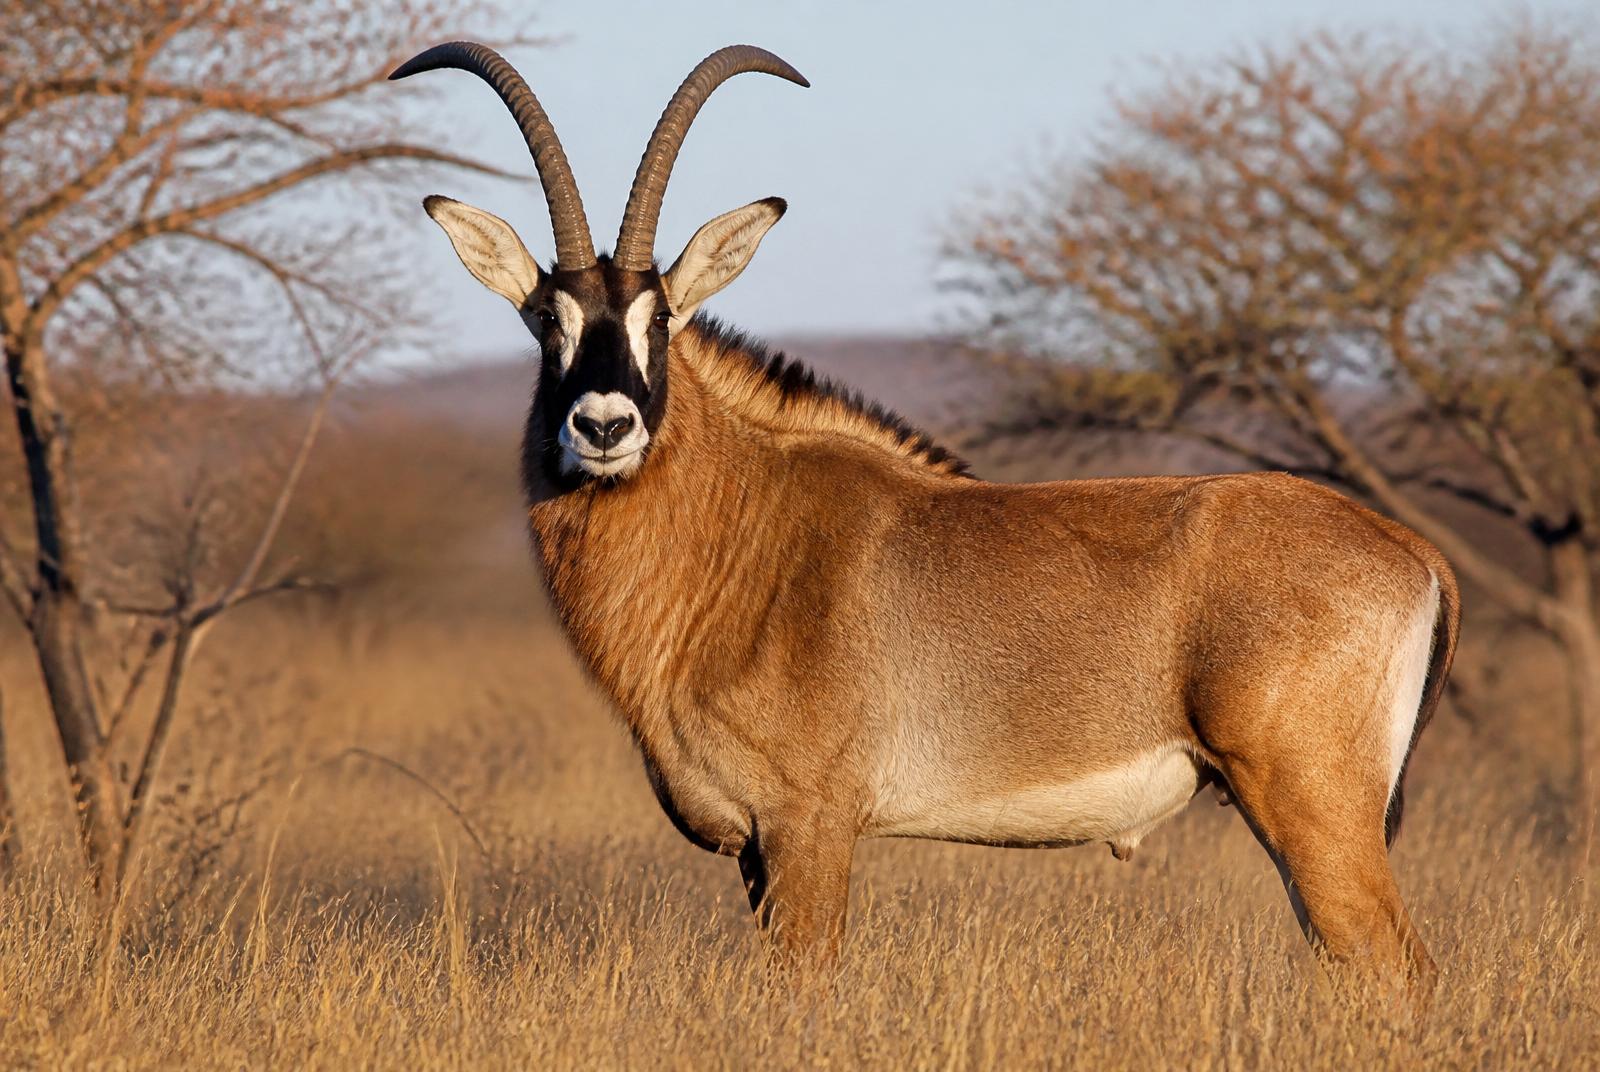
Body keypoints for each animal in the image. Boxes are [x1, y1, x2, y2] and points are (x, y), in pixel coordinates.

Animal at [391, 42, 1459, 997]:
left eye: (663, 320)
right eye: (548, 322)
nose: (605, 426)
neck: (740, 531)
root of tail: (1414, 552)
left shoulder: (809, 828)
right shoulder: (756, 852)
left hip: (1311, 807)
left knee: (1396, 970)